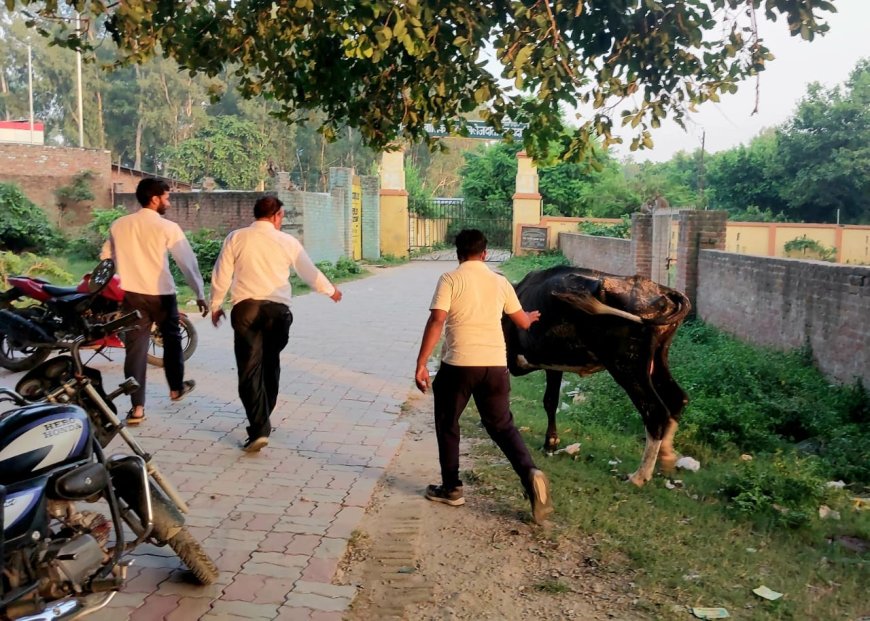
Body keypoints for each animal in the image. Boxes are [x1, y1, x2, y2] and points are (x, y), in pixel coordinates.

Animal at [504, 264, 696, 486]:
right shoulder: (553, 364)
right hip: (657, 359)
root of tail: (662, 291)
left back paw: (639, 476)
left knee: (654, 410)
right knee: (677, 399)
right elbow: (550, 401)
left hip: (626, 364)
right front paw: (550, 444)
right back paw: (666, 458)